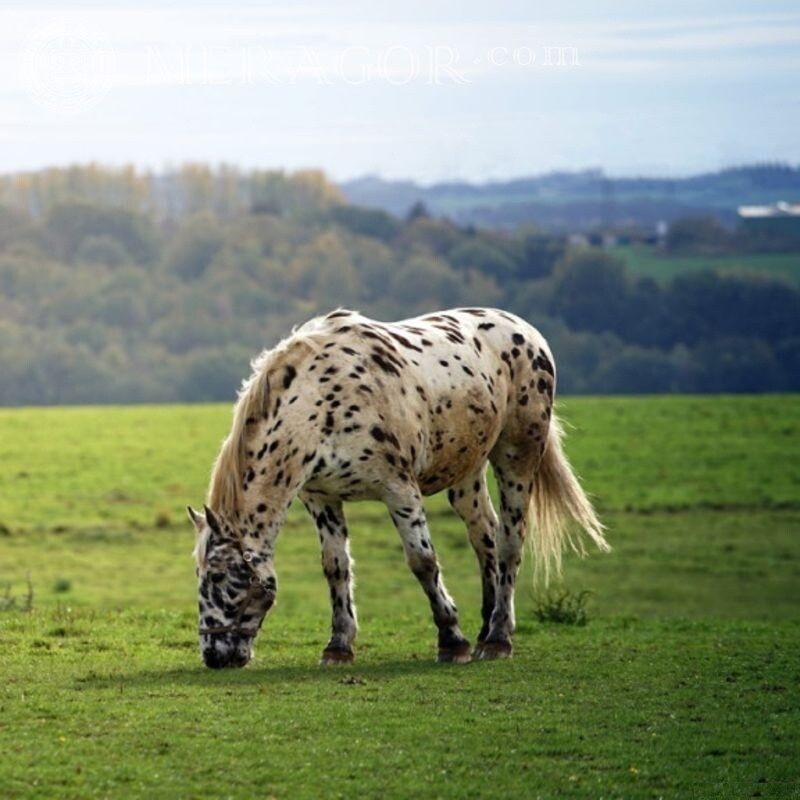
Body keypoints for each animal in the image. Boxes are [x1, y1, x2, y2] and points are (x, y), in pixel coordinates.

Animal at [186, 306, 608, 668]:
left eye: (219, 577)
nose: (214, 655)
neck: (320, 404)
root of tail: (528, 332)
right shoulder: (321, 498)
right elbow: (335, 567)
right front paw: (338, 646)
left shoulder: (399, 490)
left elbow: (423, 562)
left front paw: (452, 641)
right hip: (467, 473)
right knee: (484, 537)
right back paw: (486, 628)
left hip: (516, 456)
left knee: (509, 542)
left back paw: (498, 638)